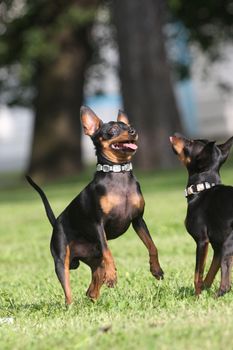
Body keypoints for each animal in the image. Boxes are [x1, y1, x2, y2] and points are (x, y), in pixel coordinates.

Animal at [26, 106, 163, 304]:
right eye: (112, 130)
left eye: (128, 126)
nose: (133, 131)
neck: (119, 173)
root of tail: (56, 222)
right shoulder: (98, 224)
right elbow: (108, 251)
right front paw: (113, 275)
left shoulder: (138, 220)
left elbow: (152, 246)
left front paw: (156, 269)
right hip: (61, 260)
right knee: (68, 288)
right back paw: (73, 304)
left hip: (94, 259)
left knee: (93, 284)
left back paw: (94, 297)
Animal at [169, 133, 233, 296]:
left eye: (190, 143)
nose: (176, 134)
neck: (202, 188)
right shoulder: (217, 249)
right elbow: (209, 275)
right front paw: (203, 292)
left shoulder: (202, 241)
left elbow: (198, 275)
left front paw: (197, 297)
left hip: (228, 246)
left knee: (226, 285)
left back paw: (217, 296)